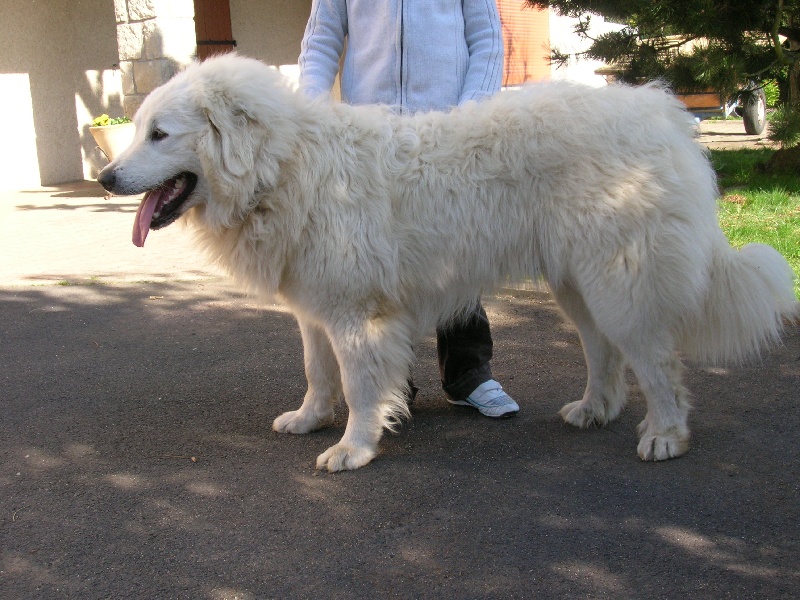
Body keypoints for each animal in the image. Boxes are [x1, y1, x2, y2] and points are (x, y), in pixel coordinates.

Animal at [97, 54, 796, 472]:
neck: (285, 166)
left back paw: (665, 434)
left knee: (655, 361)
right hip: (579, 283)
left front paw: (354, 447)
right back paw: (594, 409)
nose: (104, 177)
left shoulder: (356, 315)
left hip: (621, 283)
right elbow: (318, 373)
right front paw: (309, 420)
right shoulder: (315, 309)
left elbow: (358, 384)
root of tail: (663, 115)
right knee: (605, 352)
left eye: (160, 134)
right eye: (137, 130)